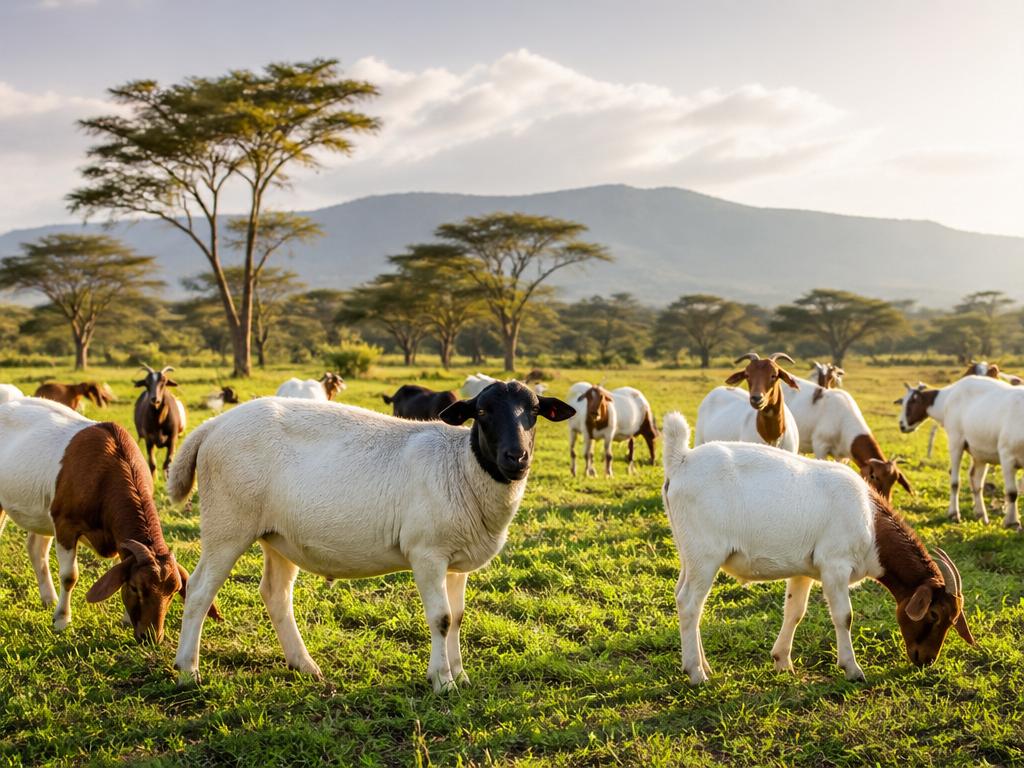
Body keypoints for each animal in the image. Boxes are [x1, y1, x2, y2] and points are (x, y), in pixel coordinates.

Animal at [0, 398, 218, 641]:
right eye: (135, 588)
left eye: (173, 592)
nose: (151, 637)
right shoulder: (65, 524)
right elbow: (69, 576)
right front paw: (62, 619)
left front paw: (125, 619)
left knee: (36, 549)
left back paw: (49, 598)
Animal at [167, 381, 575, 690]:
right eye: (484, 412)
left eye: (533, 412)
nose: (516, 457)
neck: (461, 465)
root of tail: (213, 426)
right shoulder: (427, 553)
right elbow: (441, 618)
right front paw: (442, 681)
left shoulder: (457, 561)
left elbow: (458, 618)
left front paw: (461, 675)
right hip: (227, 522)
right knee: (200, 590)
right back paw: (188, 670)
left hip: (276, 535)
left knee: (275, 594)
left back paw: (305, 665)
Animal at [661, 411, 976, 685]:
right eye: (934, 615)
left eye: (953, 619)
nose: (925, 660)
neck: (870, 523)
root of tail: (681, 461)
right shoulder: (835, 565)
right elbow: (844, 616)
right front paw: (852, 669)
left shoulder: (803, 571)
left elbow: (795, 612)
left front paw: (782, 662)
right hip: (705, 554)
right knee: (690, 603)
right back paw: (695, 673)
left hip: (688, 553)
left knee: (682, 596)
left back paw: (704, 666)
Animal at [897, 376, 1024, 528]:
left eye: (911, 402)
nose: (901, 425)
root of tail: (952, 391)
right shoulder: (1007, 455)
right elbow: (1012, 492)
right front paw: (1012, 522)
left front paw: (1012, 521)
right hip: (956, 439)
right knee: (955, 481)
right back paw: (954, 514)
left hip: (980, 450)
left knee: (976, 481)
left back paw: (981, 515)